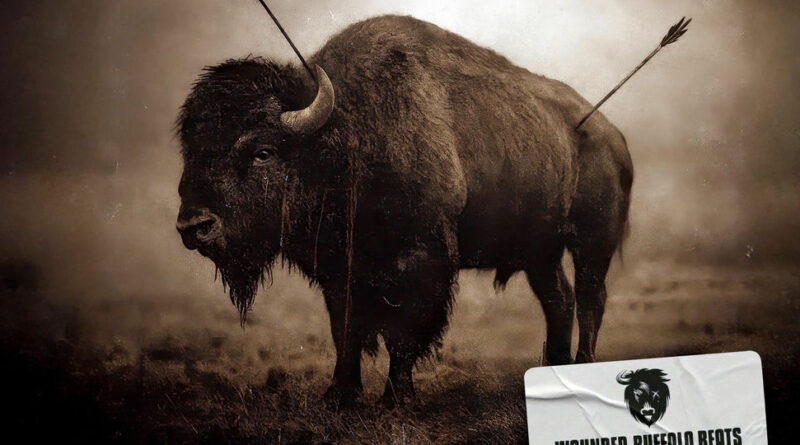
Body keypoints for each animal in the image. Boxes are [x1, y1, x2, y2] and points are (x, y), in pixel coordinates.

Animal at [176, 15, 632, 408]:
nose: (194, 226)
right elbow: (345, 330)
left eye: (263, 151)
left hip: (592, 243)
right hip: (540, 251)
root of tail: (613, 136)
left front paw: (396, 400)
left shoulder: (421, 263)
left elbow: (403, 332)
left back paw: (583, 370)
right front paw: (338, 397)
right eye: (190, 149)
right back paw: (553, 371)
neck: (346, 135)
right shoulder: (339, 270)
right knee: (560, 299)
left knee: (590, 298)